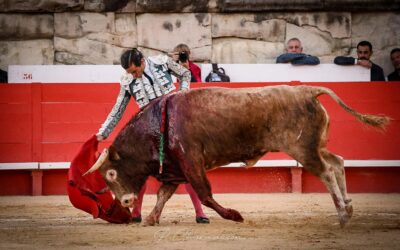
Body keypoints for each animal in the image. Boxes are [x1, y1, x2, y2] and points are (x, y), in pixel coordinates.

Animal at [83, 85, 388, 227]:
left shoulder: (191, 162)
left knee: (325, 171)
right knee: (337, 162)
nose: (124, 201)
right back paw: (348, 207)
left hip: (303, 150)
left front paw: (235, 215)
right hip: (316, 146)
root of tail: (307, 90)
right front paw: (150, 219)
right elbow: (163, 195)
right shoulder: (174, 169)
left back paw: (343, 215)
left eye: (111, 173)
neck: (158, 123)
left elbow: (205, 193)